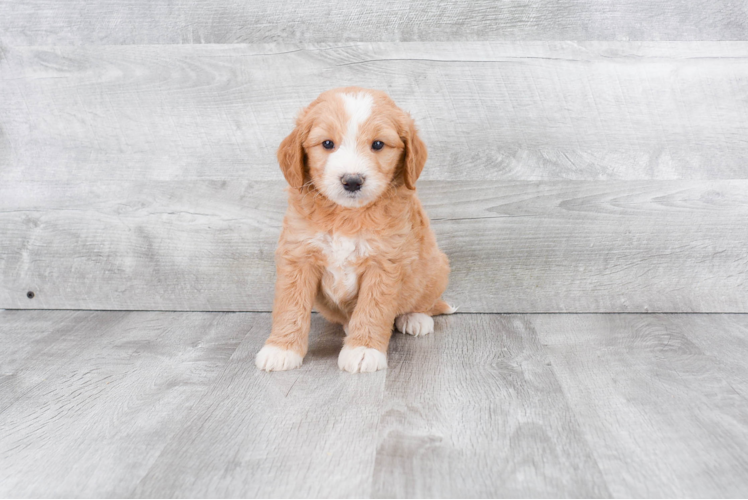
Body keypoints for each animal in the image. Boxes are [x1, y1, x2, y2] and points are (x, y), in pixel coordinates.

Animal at [254, 87, 452, 372]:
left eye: (378, 145)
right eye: (327, 144)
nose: (352, 181)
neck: (346, 215)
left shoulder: (384, 263)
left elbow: (373, 307)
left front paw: (363, 350)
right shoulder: (298, 256)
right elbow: (290, 305)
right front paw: (281, 349)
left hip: (436, 268)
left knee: (424, 302)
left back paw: (415, 318)